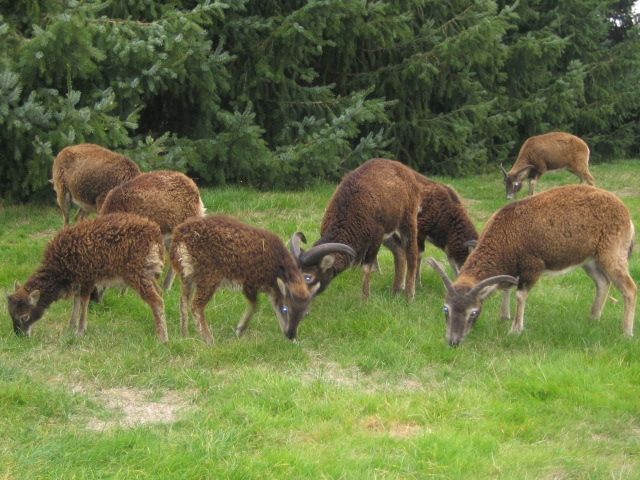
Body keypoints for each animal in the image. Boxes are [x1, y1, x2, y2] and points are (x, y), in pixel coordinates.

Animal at [6, 213, 168, 342]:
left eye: (25, 316)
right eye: (11, 315)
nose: (20, 336)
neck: (58, 269)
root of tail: (155, 234)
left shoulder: (87, 278)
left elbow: (84, 302)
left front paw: (80, 330)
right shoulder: (78, 281)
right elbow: (76, 301)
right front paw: (71, 326)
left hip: (136, 274)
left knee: (156, 300)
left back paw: (163, 338)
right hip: (148, 273)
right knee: (160, 293)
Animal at [170, 215, 321, 344]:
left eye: (305, 313)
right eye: (285, 309)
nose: (291, 336)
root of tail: (179, 237)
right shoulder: (250, 282)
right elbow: (255, 304)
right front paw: (240, 330)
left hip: (187, 275)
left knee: (183, 301)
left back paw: (185, 335)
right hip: (209, 277)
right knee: (196, 306)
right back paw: (209, 340)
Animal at [292, 158, 421, 299]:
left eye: (308, 276)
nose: (298, 295)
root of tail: (405, 170)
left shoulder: (376, 238)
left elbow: (366, 268)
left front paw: (365, 298)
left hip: (408, 220)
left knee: (412, 253)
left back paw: (409, 295)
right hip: (389, 232)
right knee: (399, 250)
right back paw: (396, 291)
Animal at [428, 185, 636, 347]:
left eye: (473, 312)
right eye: (446, 309)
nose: (453, 341)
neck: (506, 234)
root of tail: (627, 216)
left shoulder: (532, 267)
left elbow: (520, 295)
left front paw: (515, 329)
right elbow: (506, 288)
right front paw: (504, 317)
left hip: (612, 255)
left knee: (630, 289)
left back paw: (627, 333)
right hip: (590, 261)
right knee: (603, 283)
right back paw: (593, 318)